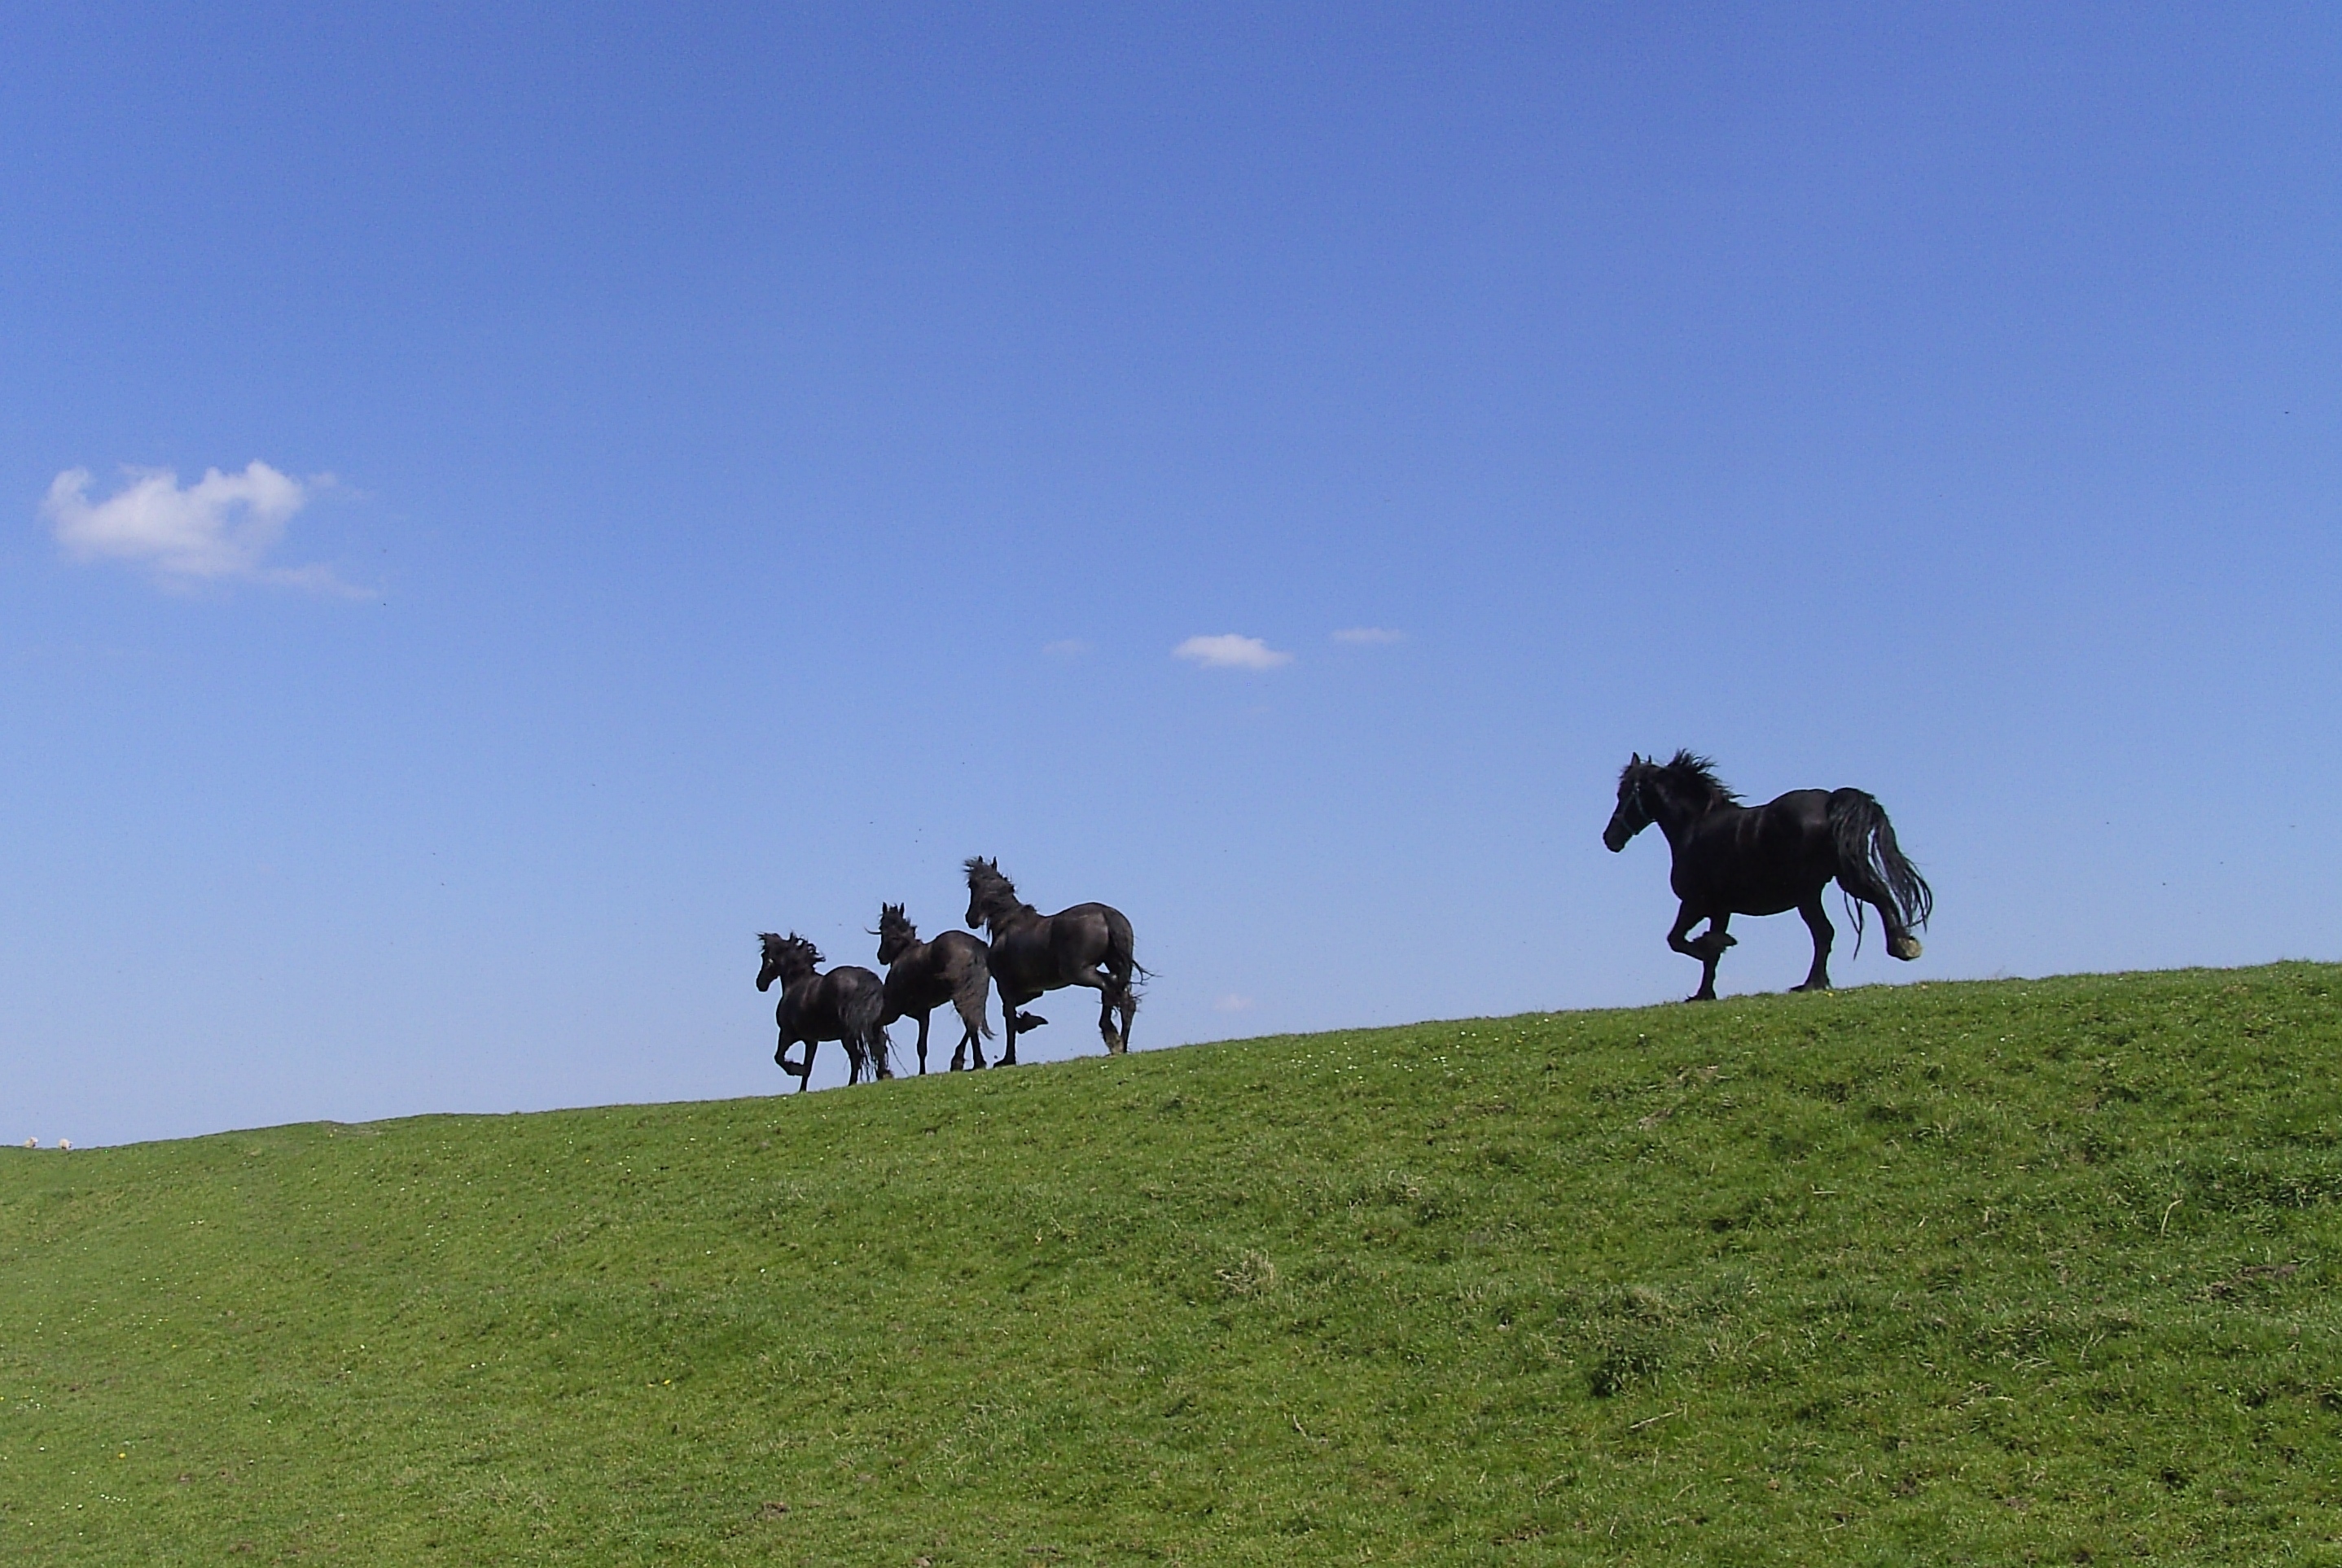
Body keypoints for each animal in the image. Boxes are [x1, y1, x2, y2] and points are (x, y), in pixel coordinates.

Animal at [756, 933, 891, 1089]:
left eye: (765, 956)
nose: (760, 983)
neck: (796, 983)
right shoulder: (811, 1040)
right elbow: (808, 1066)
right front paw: (802, 1090)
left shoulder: (787, 1034)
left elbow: (779, 1058)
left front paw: (797, 1069)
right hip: (871, 1027)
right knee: (879, 1048)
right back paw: (883, 1075)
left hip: (847, 1035)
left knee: (857, 1056)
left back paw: (852, 1084)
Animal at [873, 902, 1035, 1073]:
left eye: (882, 927)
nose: (881, 956)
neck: (904, 952)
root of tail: (974, 948)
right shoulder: (924, 1013)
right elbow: (922, 1047)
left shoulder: (893, 1011)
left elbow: (879, 1030)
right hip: (972, 995)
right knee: (972, 1022)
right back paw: (971, 1061)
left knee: (970, 1022)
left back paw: (969, 1061)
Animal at [964, 857, 1142, 1061]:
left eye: (972, 885)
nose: (970, 919)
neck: (1007, 924)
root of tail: (1105, 914)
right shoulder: (1031, 990)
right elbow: (1012, 1015)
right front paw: (1030, 1022)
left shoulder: (1005, 986)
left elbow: (1009, 1018)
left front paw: (1008, 1059)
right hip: (1113, 967)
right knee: (1126, 1002)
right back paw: (1122, 1046)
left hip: (1079, 972)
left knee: (1109, 987)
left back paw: (1112, 1038)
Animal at [1602, 751, 1932, 1002]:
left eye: (1624, 794)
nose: (1610, 839)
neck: (1695, 827)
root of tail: (1830, 801)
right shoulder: (1720, 909)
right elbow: (1707, 955)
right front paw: (1705, 991)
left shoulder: (1697, 903)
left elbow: (1678, 941)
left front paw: (1716, 947)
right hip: (1839, 879)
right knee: (1875, 901)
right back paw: (1899, 947)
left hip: (1808, 892)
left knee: (1827, 930)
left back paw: (1814, 982)